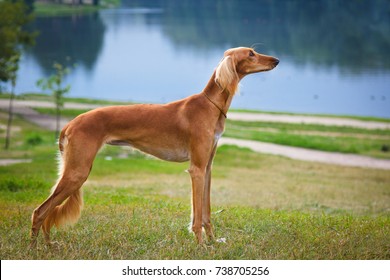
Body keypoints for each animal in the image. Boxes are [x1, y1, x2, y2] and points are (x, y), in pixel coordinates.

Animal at [30, 47, 278, 246]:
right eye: (251, 53)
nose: (276, 60)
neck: (209, 106)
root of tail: (70, 123)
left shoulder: (207, 168)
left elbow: (206, 212)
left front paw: (213, 241)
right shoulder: (196, 169)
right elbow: (197, 215)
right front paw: (200, 245)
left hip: (74, 171)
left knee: (48, 212)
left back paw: (50, 245)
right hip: (78, 172)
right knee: (40, 211)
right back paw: (35, 248)